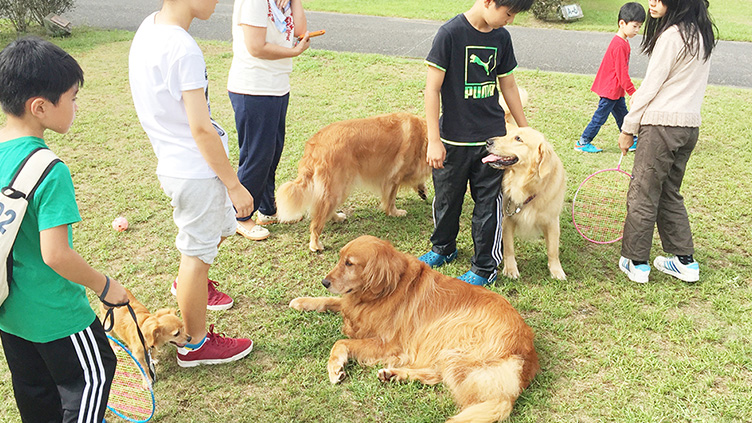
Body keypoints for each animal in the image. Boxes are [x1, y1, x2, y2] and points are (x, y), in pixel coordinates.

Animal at [276, 112, 428, 252]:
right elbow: (391, 200)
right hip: (336, 188)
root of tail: (314, 144)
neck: (424, 136)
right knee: (317, 222)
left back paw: (337, 217)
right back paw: (316, 244)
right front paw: (395, 212)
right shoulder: (394, 177)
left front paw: (422, 190)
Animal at [286, 237, 536, 422]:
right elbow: (331, 301)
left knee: (487, 396)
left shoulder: (389, 345)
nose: (324, 282)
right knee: (436, 374)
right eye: (340, 259)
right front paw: (302, 301)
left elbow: (341, 342)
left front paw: (335, 367)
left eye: (350, 263)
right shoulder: (353, 307)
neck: (384, 290)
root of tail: (528, 351)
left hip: (452, 337)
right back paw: (393, 374)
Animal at [484, 126, 568, 278]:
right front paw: (510, 269)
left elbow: (553, 249)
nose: (488, 141)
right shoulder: (507, 219)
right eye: (507, 134)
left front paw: (556, 271)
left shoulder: (552, 220)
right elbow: (509, 248)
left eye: (518, 139)